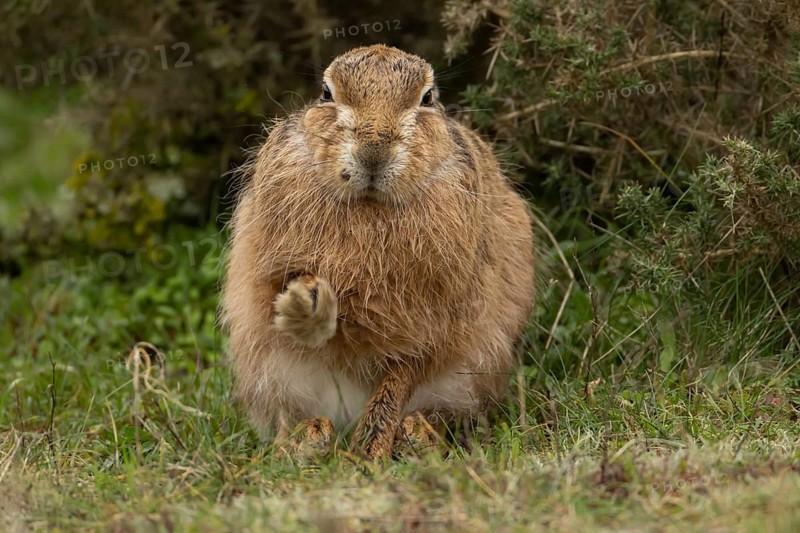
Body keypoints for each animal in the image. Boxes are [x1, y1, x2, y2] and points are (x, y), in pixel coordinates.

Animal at [222, 44, 536, 459]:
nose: (373, 153)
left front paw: (367, 456)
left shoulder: (432, 327)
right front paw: (306, 311)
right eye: (326, 93)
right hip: (271, 373)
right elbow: (284, 286)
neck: (371, 205)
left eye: (427, 98)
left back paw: (415, 436)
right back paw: (308, 437)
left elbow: (392, 390)